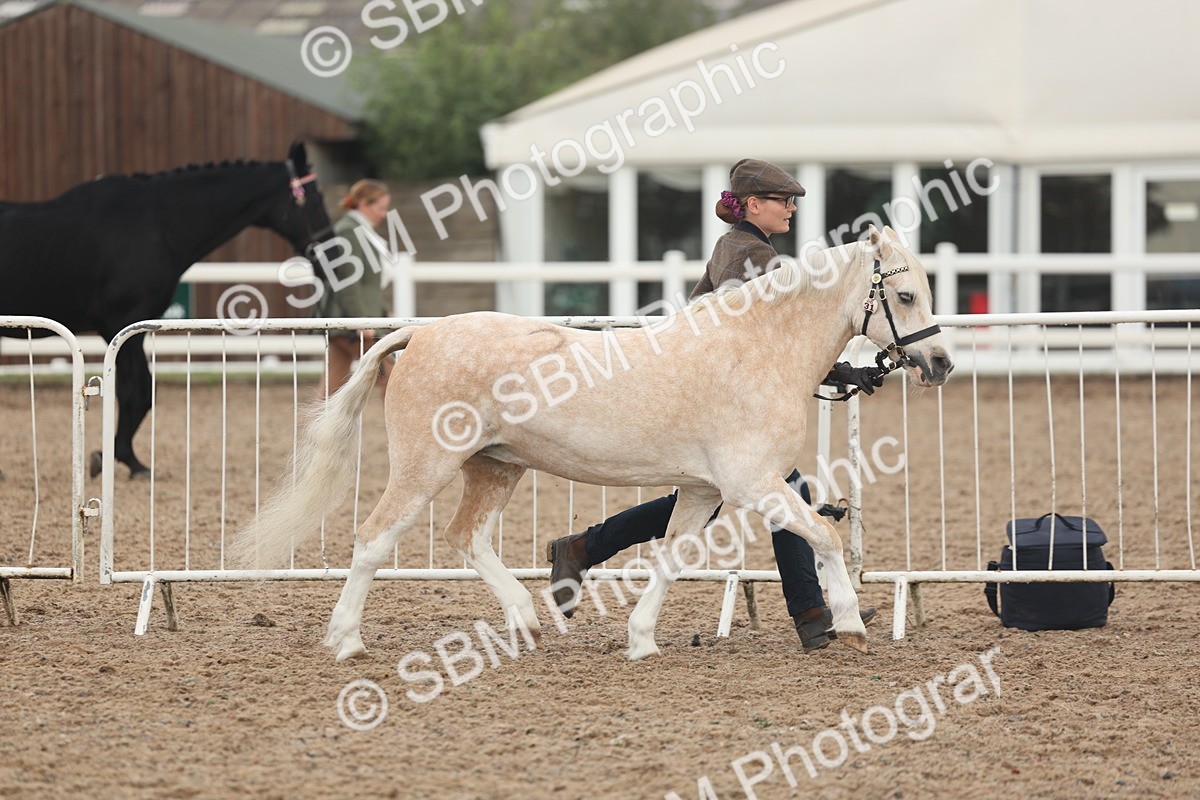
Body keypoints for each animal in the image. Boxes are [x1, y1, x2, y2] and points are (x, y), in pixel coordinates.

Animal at [0, 141, 333, 478]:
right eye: (314, 198)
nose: (328, 252)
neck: (156, 223)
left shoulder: (129, 329)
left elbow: (141, 390)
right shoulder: (122, 324)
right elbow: (137, 390)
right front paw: (120, 459)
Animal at [233, 224, 954, 662]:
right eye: (906, 293)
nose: (941, 363)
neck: (755, 350)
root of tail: (420, 333)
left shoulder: (704, 490)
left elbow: (669, 557)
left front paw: (641, 640)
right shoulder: (754, 485)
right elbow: (825, 535)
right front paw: (849, 624)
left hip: (495, 468)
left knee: (468, 538)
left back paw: (527, 619)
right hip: (425, 466)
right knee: (374, 538)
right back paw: (346, 640)